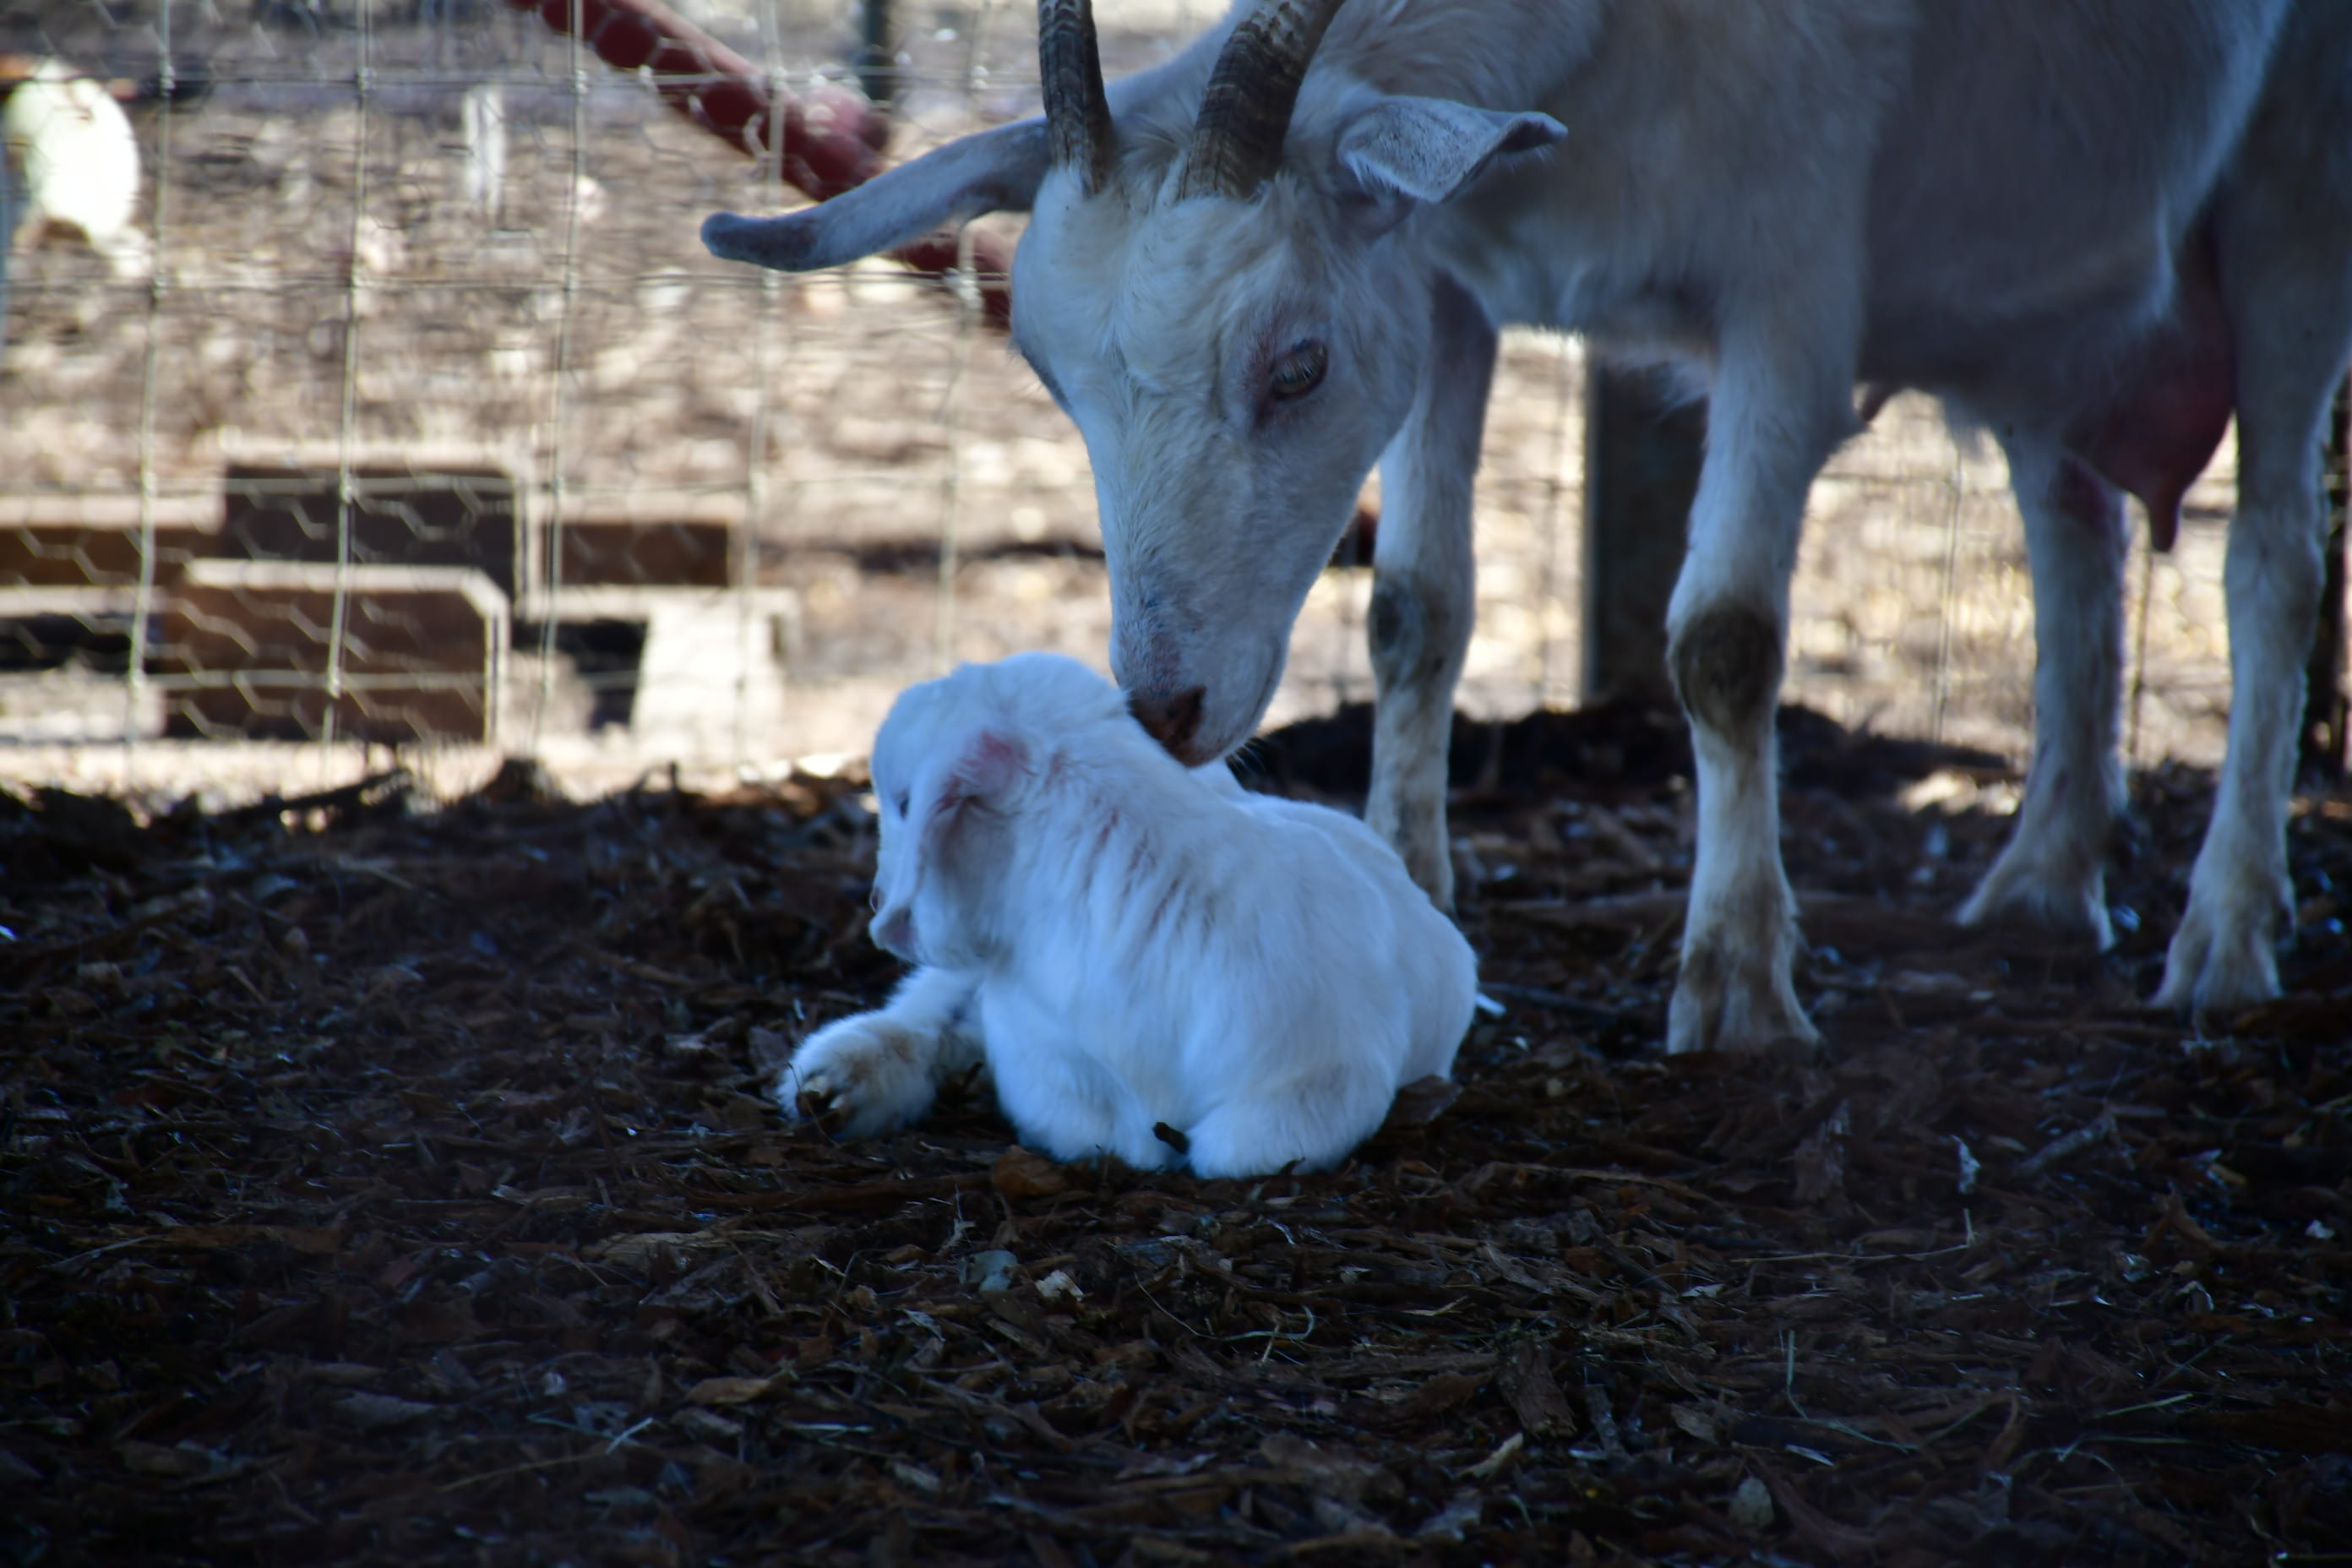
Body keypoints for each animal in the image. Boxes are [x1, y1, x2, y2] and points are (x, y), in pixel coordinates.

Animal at [705, 0, 2352, 1052]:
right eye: (1050, 370)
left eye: (1294, 364)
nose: (1165, 707)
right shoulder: (1443, 278)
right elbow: (1412, 608)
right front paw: (1412, 893)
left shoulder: (1791, 282)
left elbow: (1723, 643)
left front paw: (1737, 991)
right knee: (2069, 517)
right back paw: (2041, 879)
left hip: (2290, 182)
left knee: (2272, 555)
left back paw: (2223, 939)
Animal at [777, 652, 1477, 1177]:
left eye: (901, 802)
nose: (877, 903)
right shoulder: (1037, 1043)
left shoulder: (1319, 1080)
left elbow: (1231, 1149)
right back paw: (834, 1080)